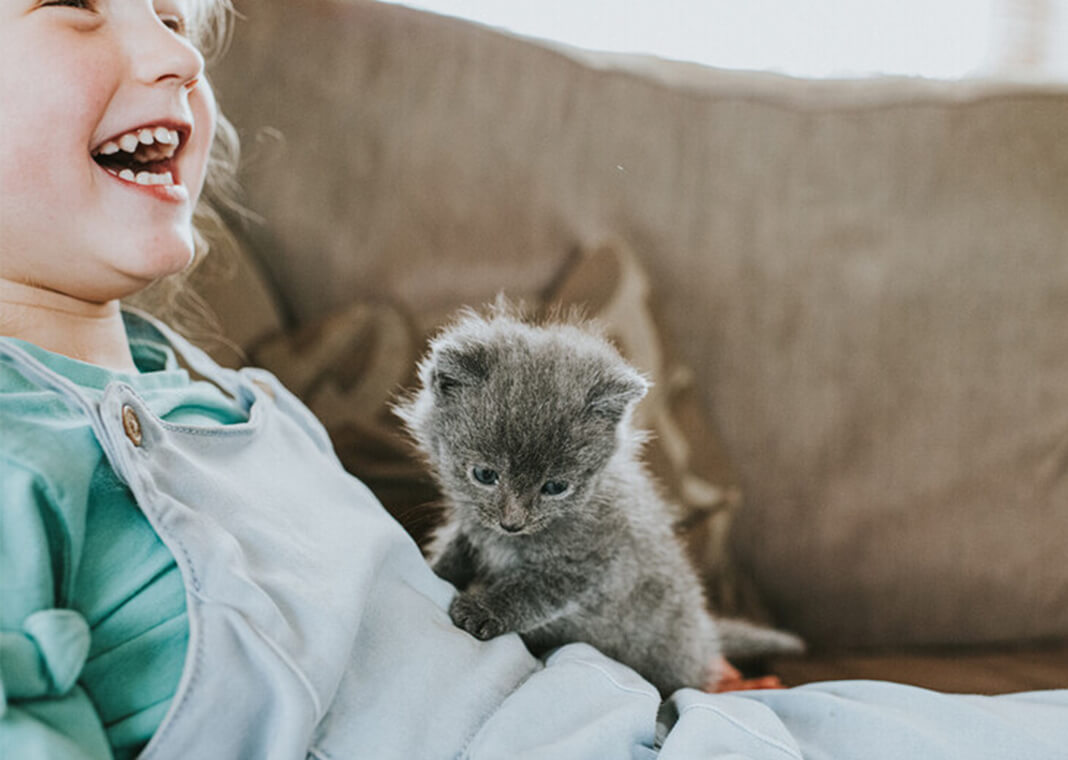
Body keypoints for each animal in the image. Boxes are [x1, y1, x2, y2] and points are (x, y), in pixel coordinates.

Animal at [397, 305, 798, 695]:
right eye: (484, 475)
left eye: (555, 487)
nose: (513, 522)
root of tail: (704, 636)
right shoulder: (472, 526)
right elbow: (457, 550)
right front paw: (435, 569)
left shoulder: (594, 563)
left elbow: (534, 590)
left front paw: (484, 609)